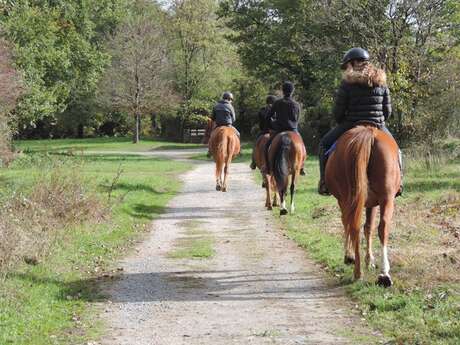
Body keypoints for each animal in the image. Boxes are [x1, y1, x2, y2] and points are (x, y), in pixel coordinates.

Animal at [326, 125, 400, 286]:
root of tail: (368, 133)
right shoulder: (372, 203)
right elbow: (368, 227)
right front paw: (368, 260)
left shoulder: (347, 201)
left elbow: (358, 226)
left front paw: (351, 256)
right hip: (386, 198)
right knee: (382, 226)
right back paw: (383, 274)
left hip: (349, 198)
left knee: (353, 226)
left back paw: (358, 272)